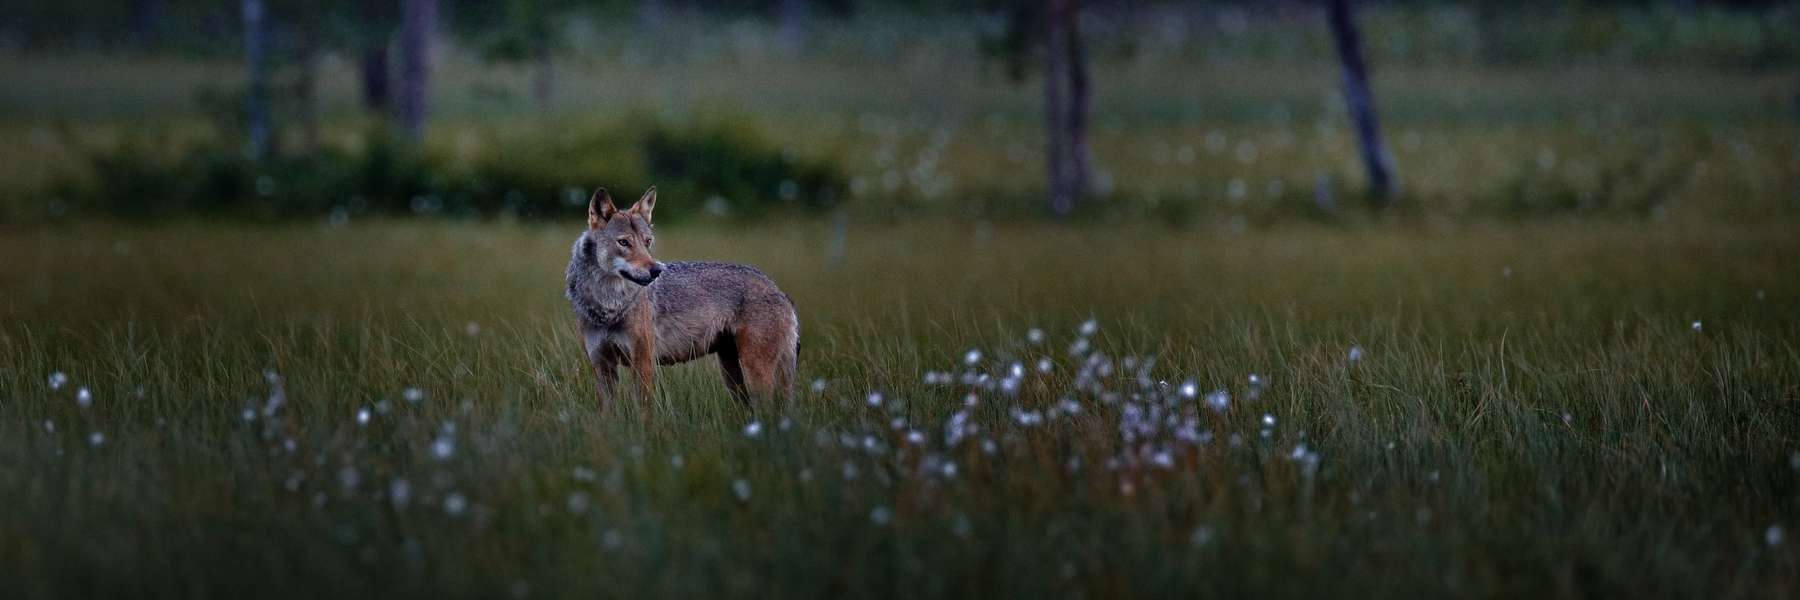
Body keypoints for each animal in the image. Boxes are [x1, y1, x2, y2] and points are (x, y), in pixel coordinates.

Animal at [565, 187, 800, 416]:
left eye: (647, 242)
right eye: (624, 242)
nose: (656, 270)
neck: (608, 305)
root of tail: (779, 290)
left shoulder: (643, 362)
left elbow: (644, 415)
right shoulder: (603, 366)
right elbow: (605, 417)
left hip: (754, 375)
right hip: (733, 377)